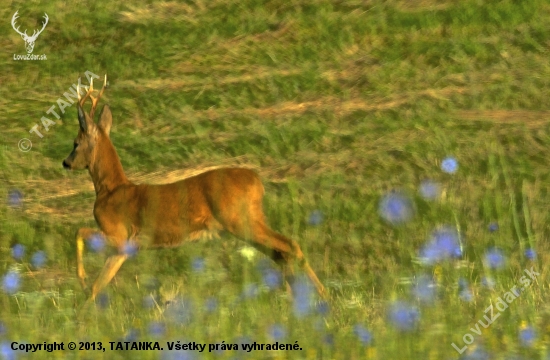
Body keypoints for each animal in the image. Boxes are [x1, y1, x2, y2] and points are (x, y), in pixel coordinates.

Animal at [61, 75, 328, 300]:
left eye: (75, 143)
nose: (66, 162)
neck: (110, 189)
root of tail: (257, 181)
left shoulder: (118, 233)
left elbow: (80, 235)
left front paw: (81, 284)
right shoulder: (125, 247)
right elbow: (100, 284)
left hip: (239, 220)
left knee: (289, 246)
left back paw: (321, 295)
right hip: (250, 219)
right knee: (280, 253)